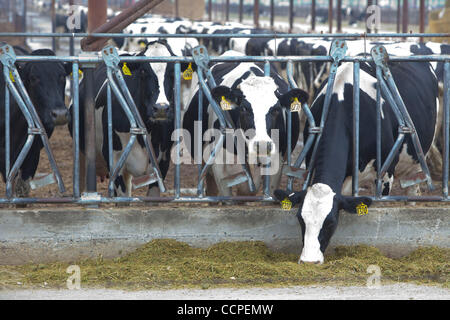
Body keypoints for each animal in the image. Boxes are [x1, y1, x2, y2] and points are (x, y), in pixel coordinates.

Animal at [272, 59, 438, 262]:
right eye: (300, 219)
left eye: (330, 222)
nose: (309, 260)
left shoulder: (386, 172)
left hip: (419, 157)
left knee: (413, 188)